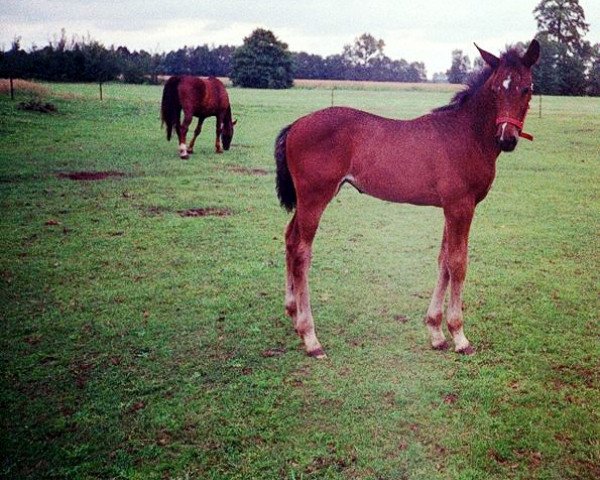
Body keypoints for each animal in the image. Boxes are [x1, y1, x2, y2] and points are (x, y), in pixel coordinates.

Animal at [274, 40, 540, 356]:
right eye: (497, 88)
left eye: (527, 88)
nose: (507, 139)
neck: (466, 135)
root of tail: (296, 125)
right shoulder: (461, 206)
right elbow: (458, 262)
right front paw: (459, 336)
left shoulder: (450, 207)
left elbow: (443, 260)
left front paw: (436, 331)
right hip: (315, 198)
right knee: (302, 252)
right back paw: (310, 337)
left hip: (305, 201)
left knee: (290, 239)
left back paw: (292, 314)